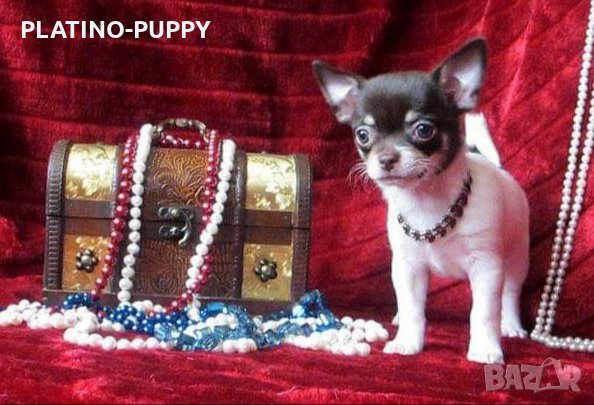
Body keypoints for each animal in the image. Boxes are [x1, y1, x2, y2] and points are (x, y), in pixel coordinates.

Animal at [312, 38, 529, 364]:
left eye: (424, 130)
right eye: (363, 135)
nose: (386, 158)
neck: (428, 201)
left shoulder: (487, 267)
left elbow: (483, 312)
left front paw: (485, 348)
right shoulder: (407, 267)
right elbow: (413, 308)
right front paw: (407, 342)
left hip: (517, 257)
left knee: (512, 293)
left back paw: (512, 326)